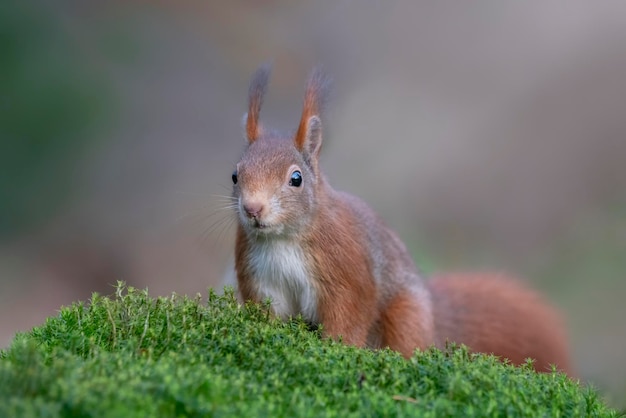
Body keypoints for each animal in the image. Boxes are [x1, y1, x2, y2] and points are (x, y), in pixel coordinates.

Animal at [230, 66, 572, 376]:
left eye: (296, 179)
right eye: (235, 175)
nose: (252, 209)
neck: (284, 239)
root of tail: (433, 315)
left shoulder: (348, 271)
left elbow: (348, 317)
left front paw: (336, 350)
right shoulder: (260, 277)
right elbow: (268, 316)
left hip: (406, 313)